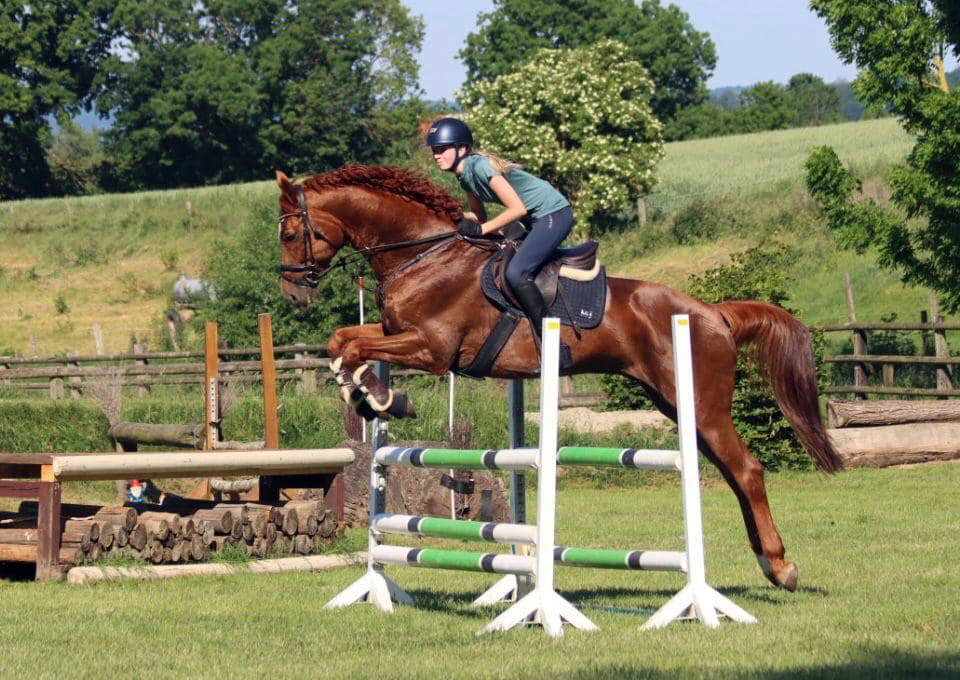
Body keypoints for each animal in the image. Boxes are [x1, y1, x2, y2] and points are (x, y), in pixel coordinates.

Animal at [272, 165, 840, 588]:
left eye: (291, 232)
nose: (293, 295)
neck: (423, 252)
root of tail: (713, 313)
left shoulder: (432, 349)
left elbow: (353, 346)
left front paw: (376, 394)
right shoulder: (397, 332)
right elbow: (342, 340)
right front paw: (369, 394)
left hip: (701, 402)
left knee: (746, 469)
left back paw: (781, 567)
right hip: (677, 404)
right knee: (729, 470)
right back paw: (766, 562)